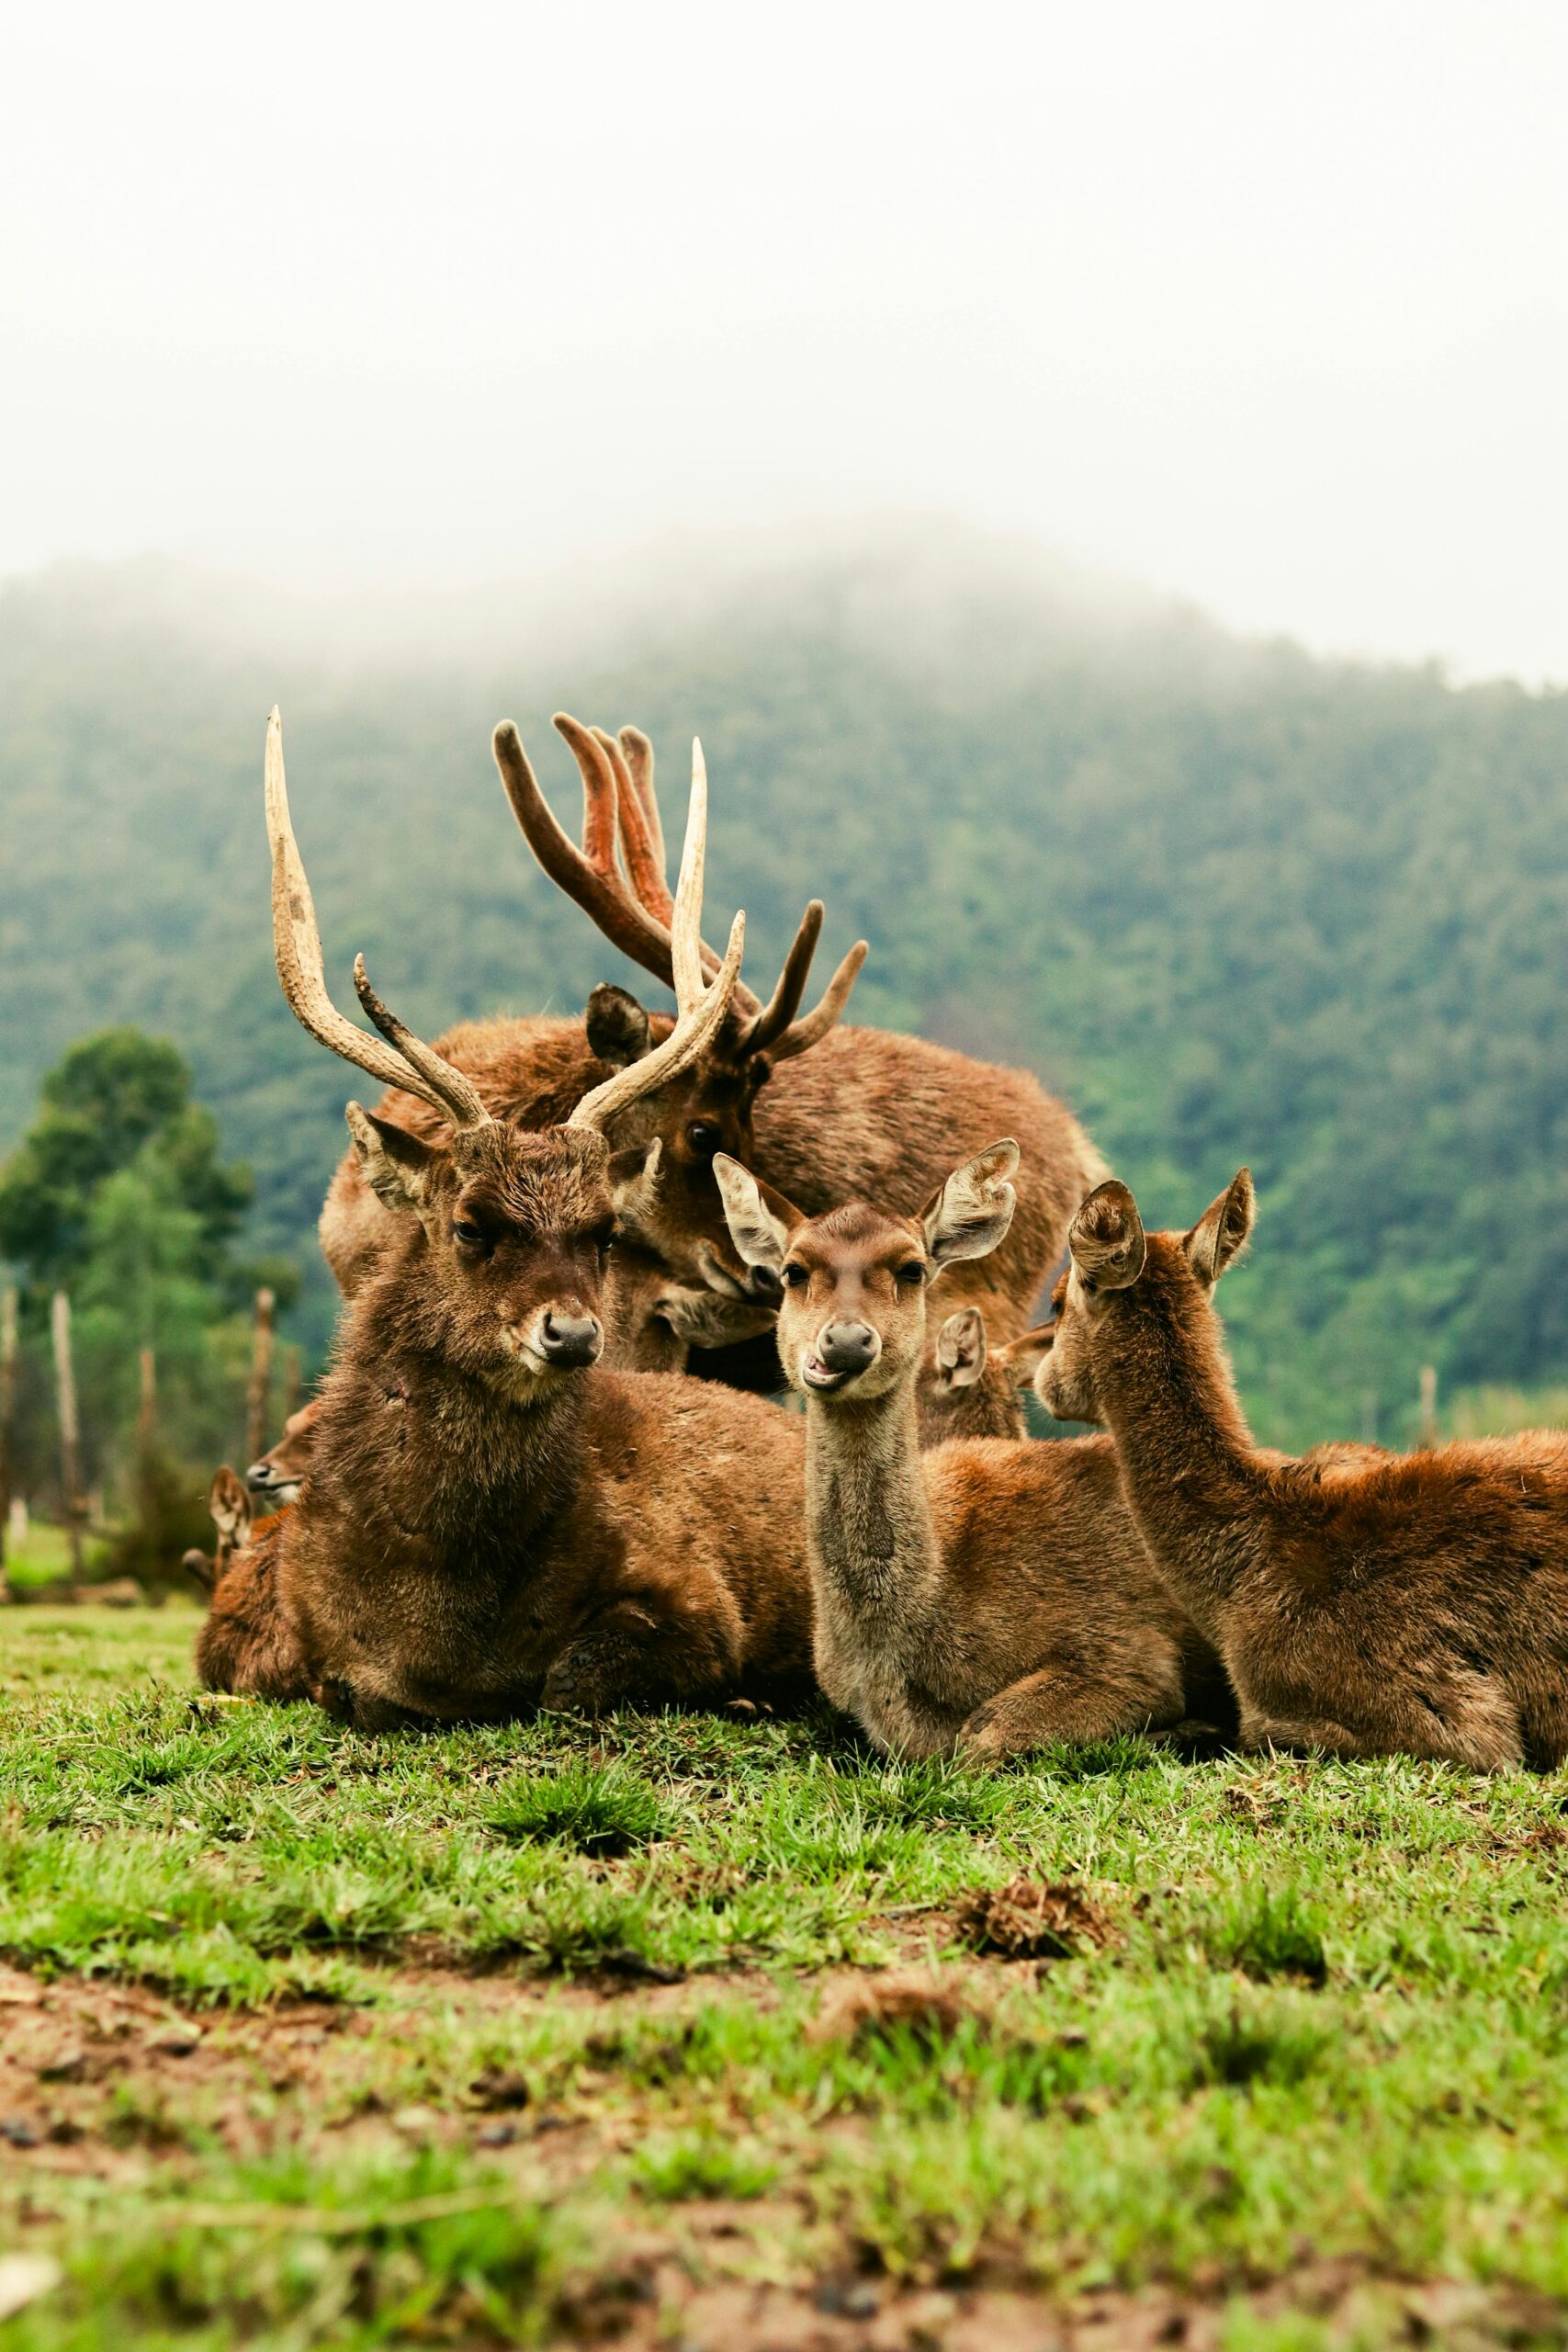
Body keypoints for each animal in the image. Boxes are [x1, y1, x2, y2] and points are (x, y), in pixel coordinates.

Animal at [208, 710, 813, 1729]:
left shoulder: (697, 1591)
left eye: (603, 1231)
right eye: (470, 1224)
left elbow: (571, 1680)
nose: (570, 1334)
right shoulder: (314, 1644)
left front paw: (745, 1697)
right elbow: (352, 1690)